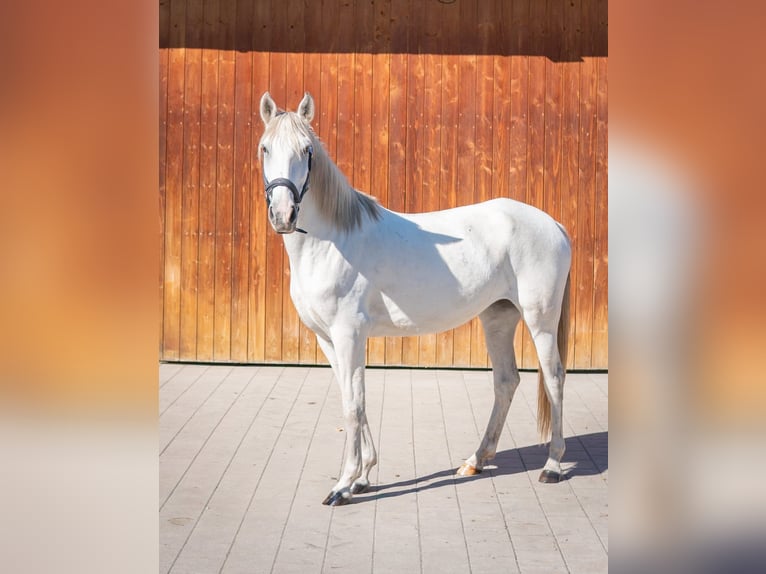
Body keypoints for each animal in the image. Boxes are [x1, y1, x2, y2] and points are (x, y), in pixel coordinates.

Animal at [258, 92, 572, 506]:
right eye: (264, 149)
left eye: (306, 150)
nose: (284, 215)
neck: (331, 243)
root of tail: (553, 224)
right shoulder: (327, 339)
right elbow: (351, 397)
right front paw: (362, 478)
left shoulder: (348, 334)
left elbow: (353, 405)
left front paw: (343, 486)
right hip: (498, 317)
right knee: (506, 381)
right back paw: (475, 460)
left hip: (541, 320)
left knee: (554, 378)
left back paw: (552, 466)